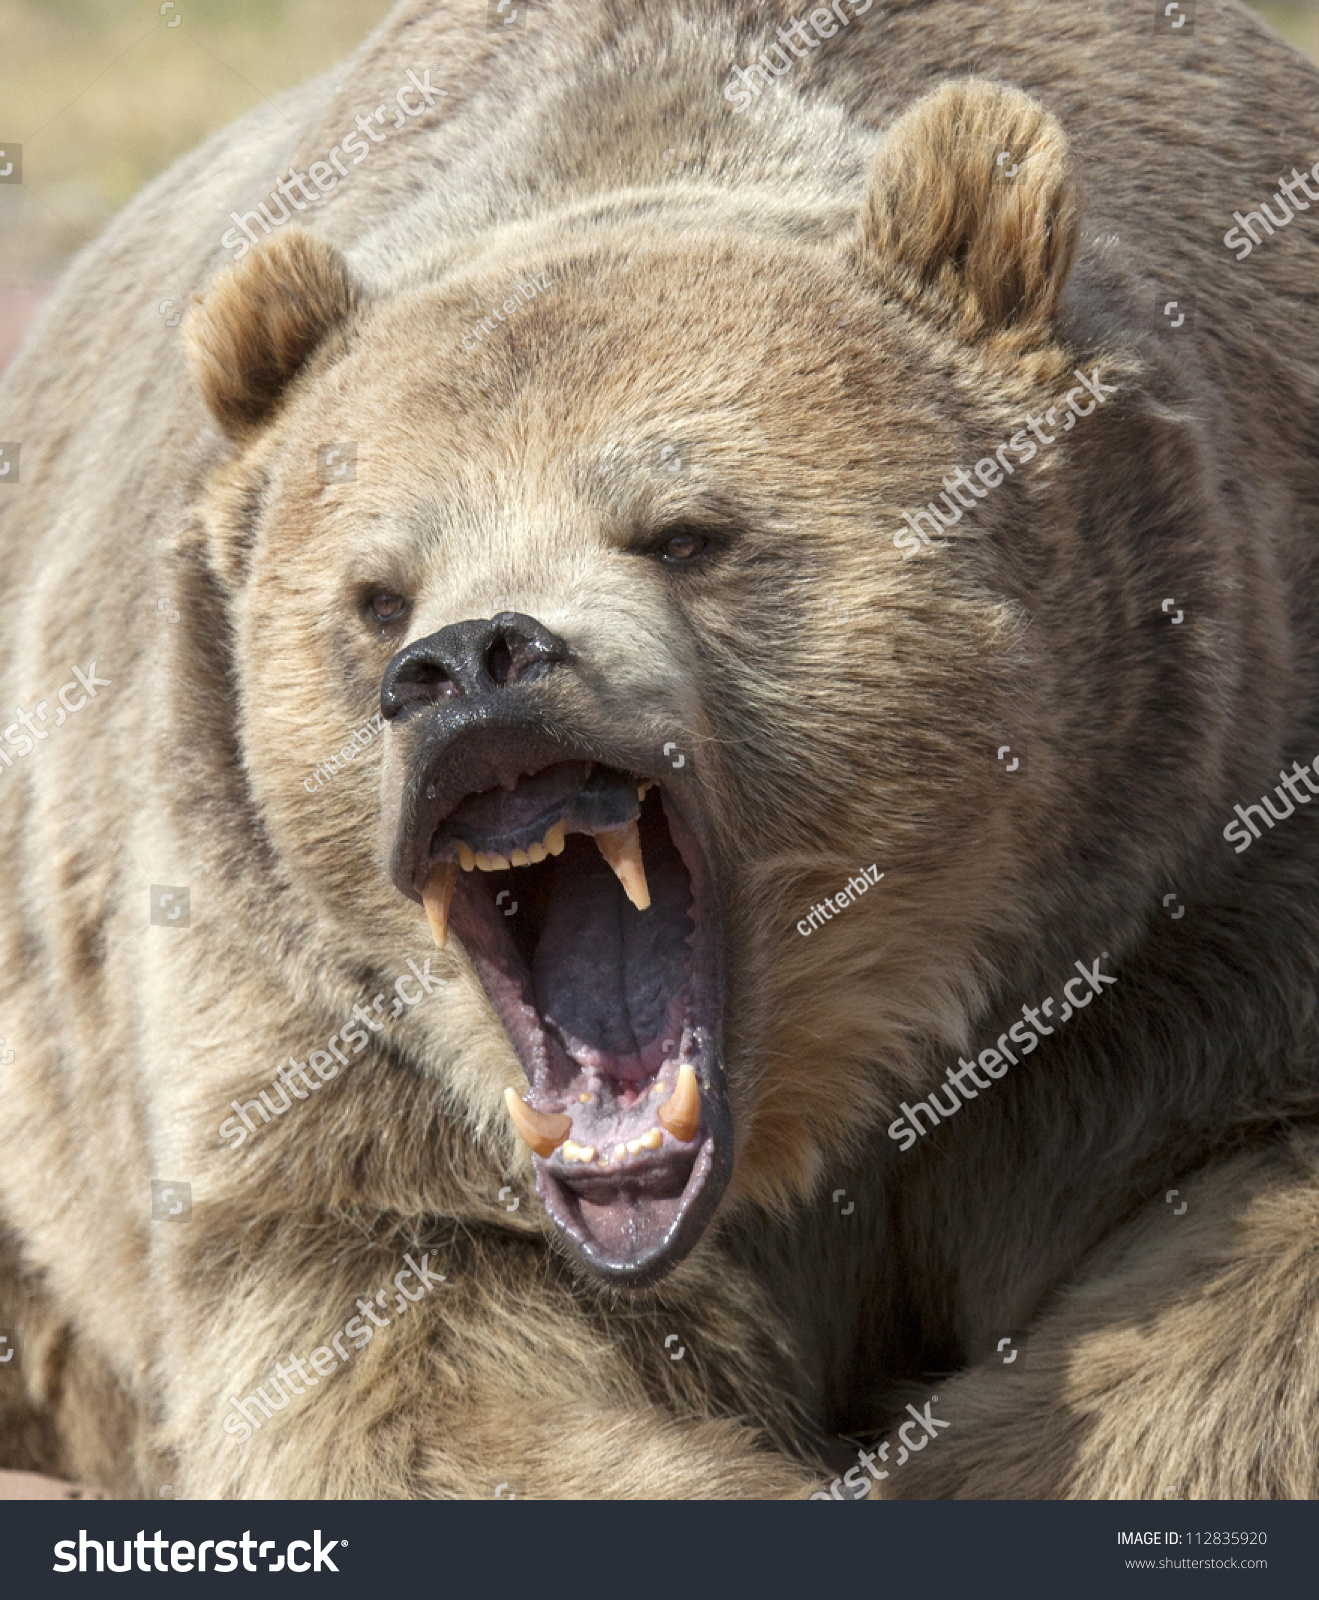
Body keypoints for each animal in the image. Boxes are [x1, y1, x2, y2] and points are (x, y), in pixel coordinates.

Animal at [2, 0, 1319, 1497]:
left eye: (684, 532)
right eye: (376, 594)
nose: (468, 666)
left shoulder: (1205, 861)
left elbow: (1239, 1256)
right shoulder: (315, 1021)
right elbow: (401, 1348)